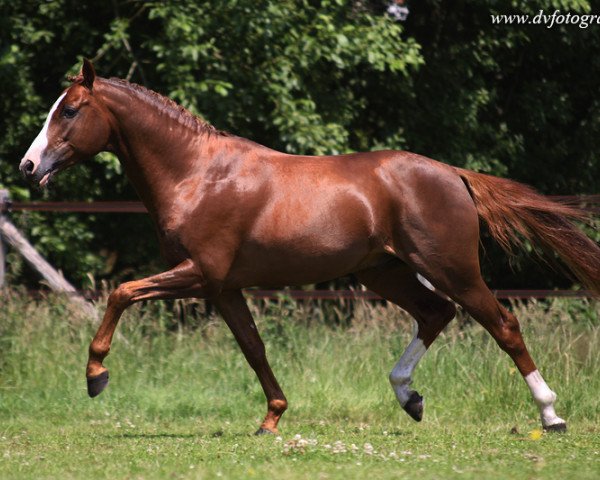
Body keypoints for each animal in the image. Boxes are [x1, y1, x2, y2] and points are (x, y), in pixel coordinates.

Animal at [19, 61, 600, 436]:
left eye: (69, 111)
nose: (28, 166)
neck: (197, 175)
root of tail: (453, 174)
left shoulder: (198, 272)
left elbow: (121, 292)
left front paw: (96, 376)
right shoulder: (222, 286)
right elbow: (254, 348)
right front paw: (272, 417)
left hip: (450, 266)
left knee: (502, 324)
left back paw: (551, 416)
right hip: (384, 272)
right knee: (436, 313)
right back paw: (409, 397)